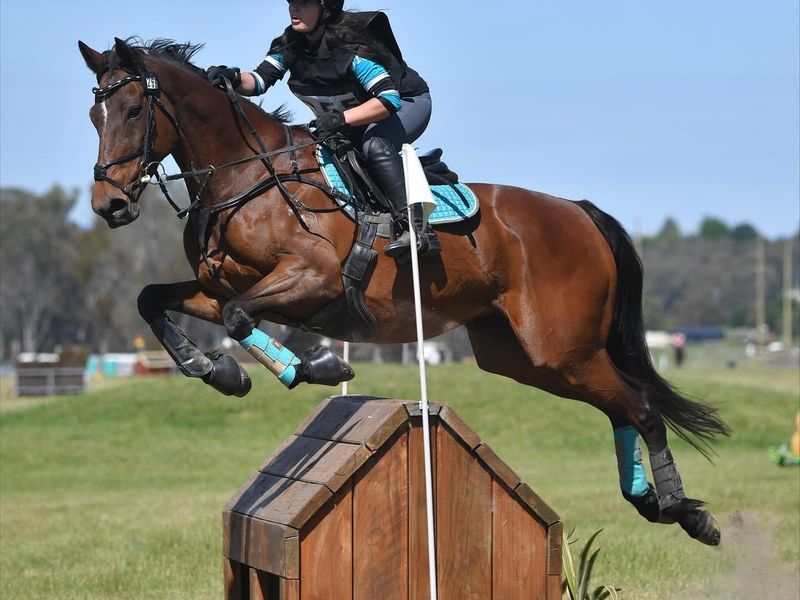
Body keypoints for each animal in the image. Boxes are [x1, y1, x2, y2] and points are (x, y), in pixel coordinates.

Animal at [79, 37, 728, 546]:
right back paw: (651, 500)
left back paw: (683, 510)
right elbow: (153, 300)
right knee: (620, 405)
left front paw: (313, 368)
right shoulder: (217, 287)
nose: (108, 205)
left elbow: (241, 319)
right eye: (94, 116)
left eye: (133, 110)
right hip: (524, 358)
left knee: (640, 405)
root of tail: (579, 211)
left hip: (561, 348)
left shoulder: (311, 278)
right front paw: (217, 372)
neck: (246, 176)